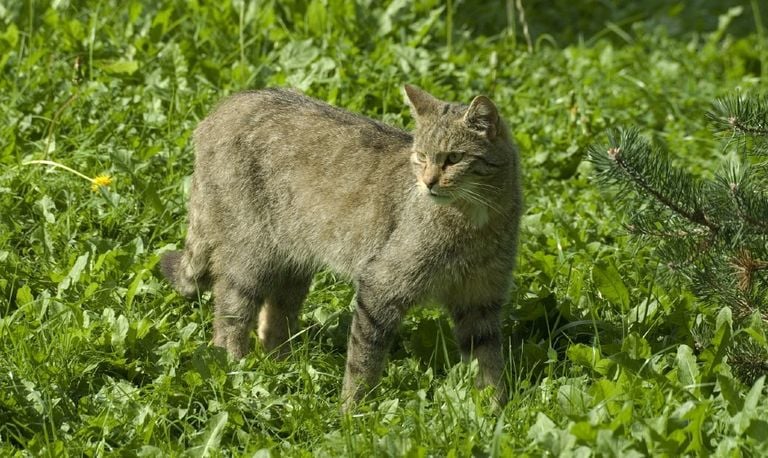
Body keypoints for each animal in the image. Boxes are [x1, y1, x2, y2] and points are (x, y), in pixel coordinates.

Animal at [161, 84, 520, 410]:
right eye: (421, 157)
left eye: (454, 158)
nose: (428, 182)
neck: (474, 220)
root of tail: (224, 106)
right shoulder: (381, 285)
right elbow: (364, 358)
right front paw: (353, 410)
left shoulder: (481, 299)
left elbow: (487, 362)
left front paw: (494, 410)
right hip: (250, 253)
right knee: (228, 314)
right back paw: (235, 368)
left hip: (293, 259)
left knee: (274, 317)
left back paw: (282, 364)